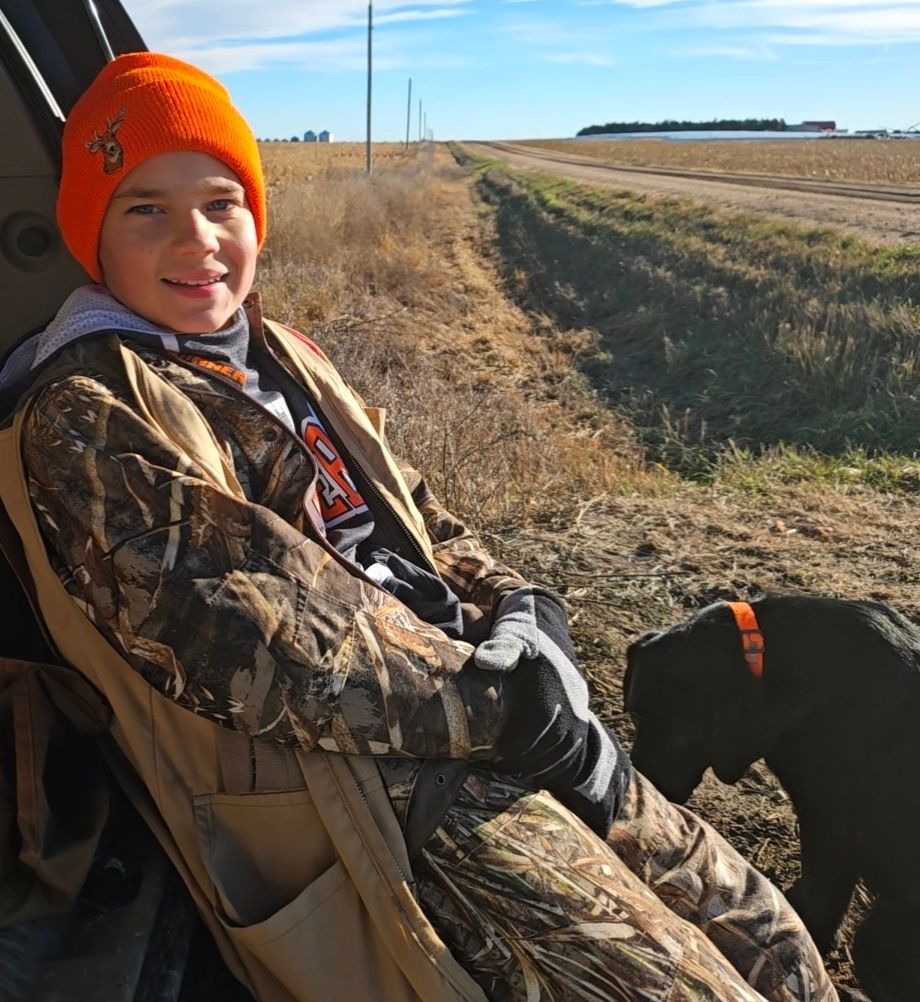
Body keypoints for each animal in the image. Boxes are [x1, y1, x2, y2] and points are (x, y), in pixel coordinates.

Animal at [624, 595, 920, 1002]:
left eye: (680, 735)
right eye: (635, 715)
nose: (643, 788)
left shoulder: (831, 818)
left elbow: (822, 887)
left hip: (879, 934)